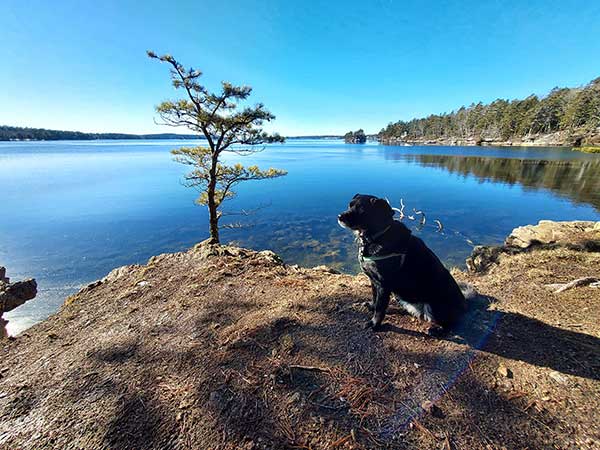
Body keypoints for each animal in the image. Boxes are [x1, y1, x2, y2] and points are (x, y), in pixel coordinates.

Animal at [340, 192, 466, 336]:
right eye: (349, 205)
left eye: (361, 210)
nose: (340, 216)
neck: (377, 236)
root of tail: (464, 304)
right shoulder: (374, 280)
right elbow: (375, 298)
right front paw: (372, 306)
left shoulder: (384, 285)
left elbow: (380, 308)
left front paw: (374, 324)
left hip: (435, 306)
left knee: (450, 323)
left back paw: (437, 329)